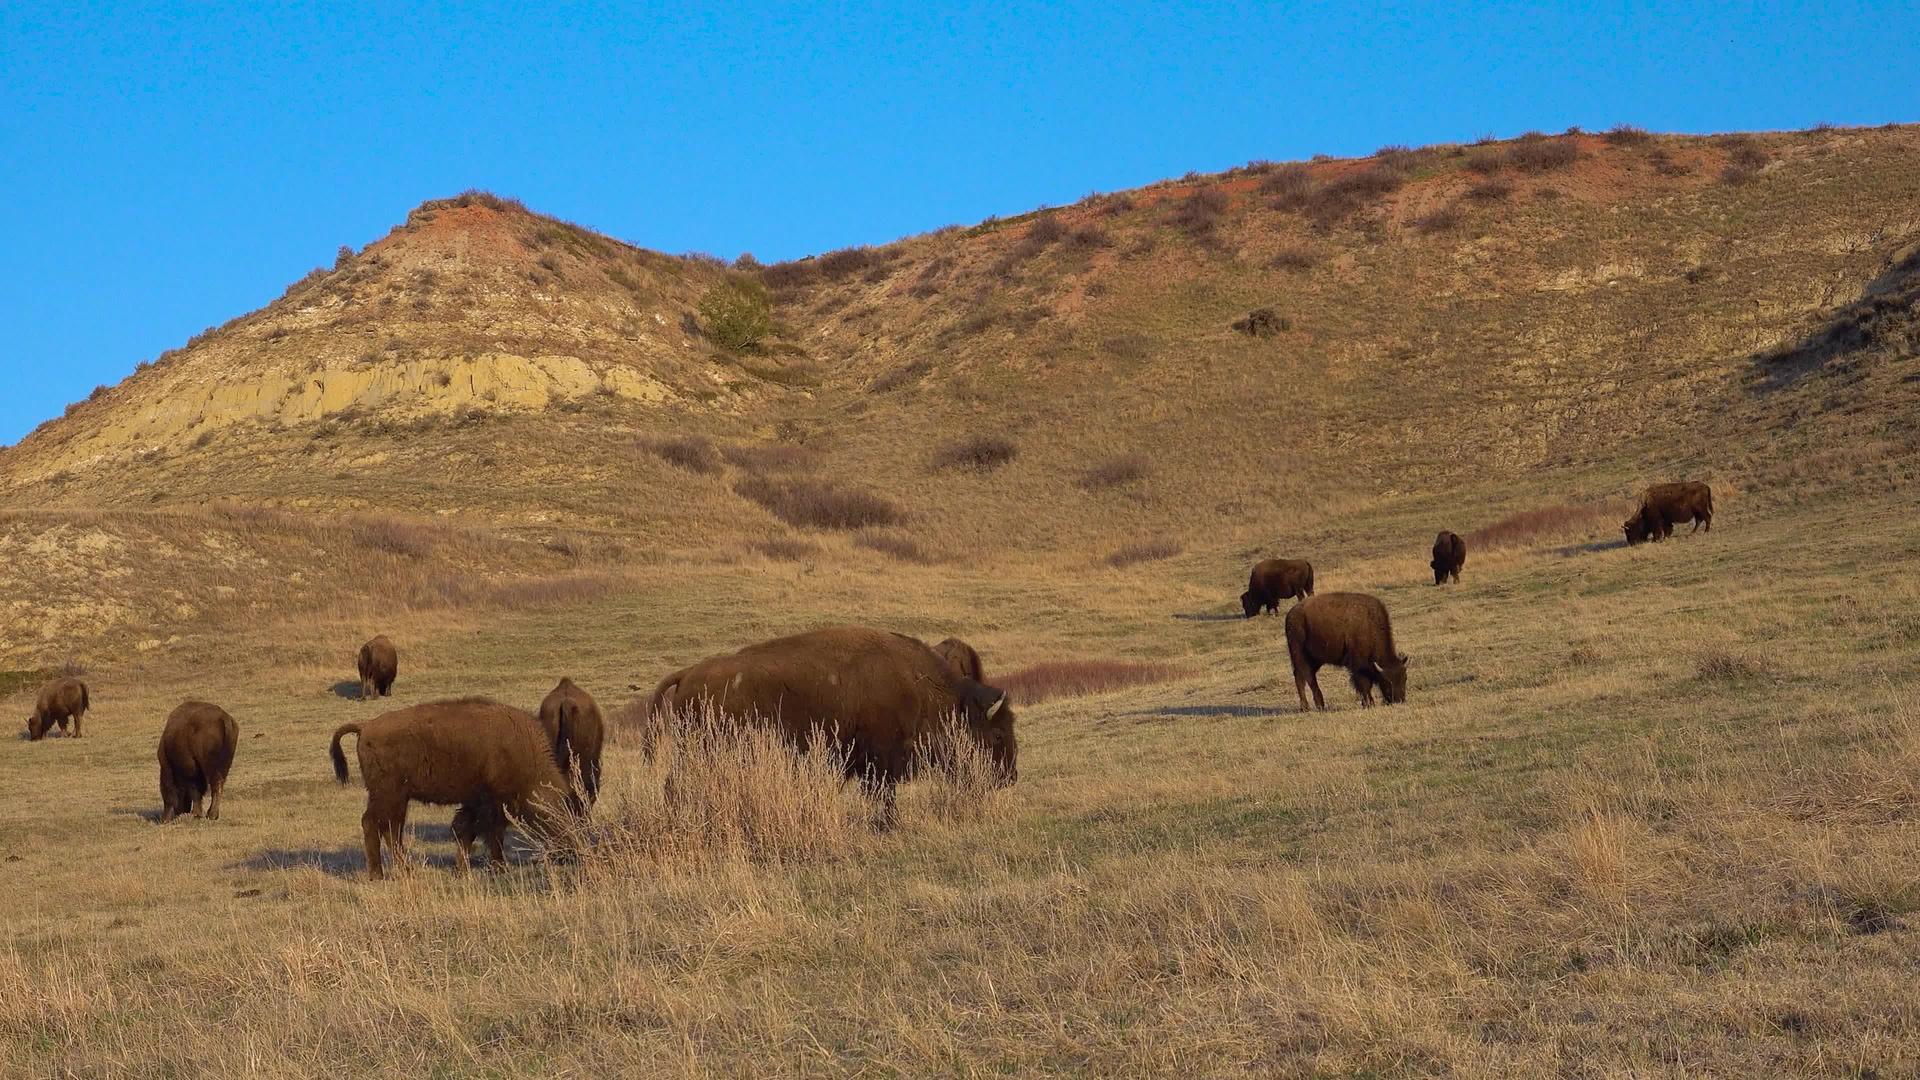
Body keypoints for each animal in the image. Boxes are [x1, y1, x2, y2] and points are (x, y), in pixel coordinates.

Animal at [328, 691, 576, 880]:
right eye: (549, 815)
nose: (569, 850)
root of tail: (365, 727)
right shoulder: (490, 803)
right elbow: (488, 833)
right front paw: (497, 868)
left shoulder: (476, 803)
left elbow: (466, 830)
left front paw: (463, 869)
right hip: (387, 794)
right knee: (373, 824)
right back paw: (378, 874)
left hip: (397, 799)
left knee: (391, 829)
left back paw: (406, 870)